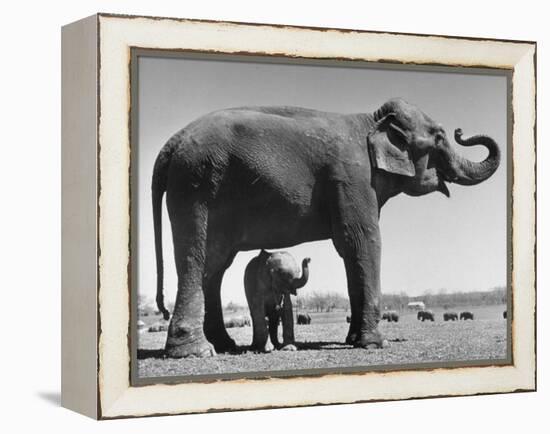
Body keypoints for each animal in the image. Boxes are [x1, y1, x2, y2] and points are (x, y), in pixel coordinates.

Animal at [153, 100, 502, 358]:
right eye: (439, 138)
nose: (461, 130)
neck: (371, 121)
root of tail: (171, 143)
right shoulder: (352, 178)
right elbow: (363, 241)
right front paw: (375, 344)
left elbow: (350, 250)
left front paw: (353, 340)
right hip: (196, 186)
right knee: (196, 259)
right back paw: (196, 352)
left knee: (215, 265)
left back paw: (225, 345)